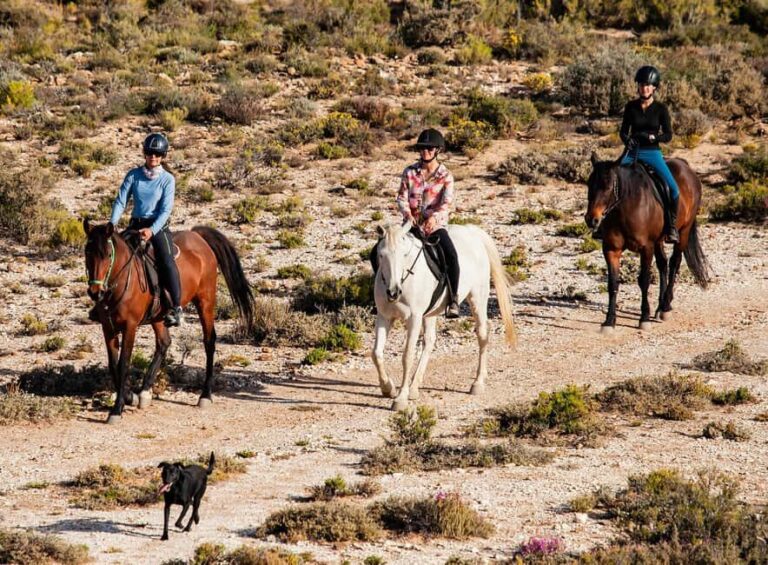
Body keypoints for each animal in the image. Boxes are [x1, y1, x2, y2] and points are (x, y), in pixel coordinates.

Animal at [83, 220, 255, 424]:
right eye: (87, 252)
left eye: (108, 254)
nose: (95, 292)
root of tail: (197, 236)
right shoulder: (107, 327)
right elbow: (113, 365)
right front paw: (129, 397)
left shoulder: (130, 326)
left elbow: (123, 364)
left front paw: (116, 410)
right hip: (158, 316)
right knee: (164, 343)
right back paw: (145, 392)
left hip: (205, 301)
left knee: (209, 341)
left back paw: (205, 395)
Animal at [372, 222, 517, 411]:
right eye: (381, 255)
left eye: (404, 254)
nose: (393, 292)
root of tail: (472, 231)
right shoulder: (384, 317)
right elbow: (376, 353)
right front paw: (387, 388)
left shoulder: (414, 318)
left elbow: (407, 356)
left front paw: (400, 398)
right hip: (430, 313)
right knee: (429, 341)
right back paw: (414, 387)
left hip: (477, 297)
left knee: (482, 335)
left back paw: (477, 383)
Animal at [584, 152, 709, 332]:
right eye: (589, 184)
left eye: (608, 186)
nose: (591, 219)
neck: (626, 208)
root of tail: (686, 167)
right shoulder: (611, 249)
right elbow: (612, 283)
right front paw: (609, 321)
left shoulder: (646, 248)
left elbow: (644, 280)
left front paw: (644, 318)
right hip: (659, 240)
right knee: (663, 264)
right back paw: (659, 308)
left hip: (683, 231)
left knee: (674, 263)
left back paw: (665, 307)